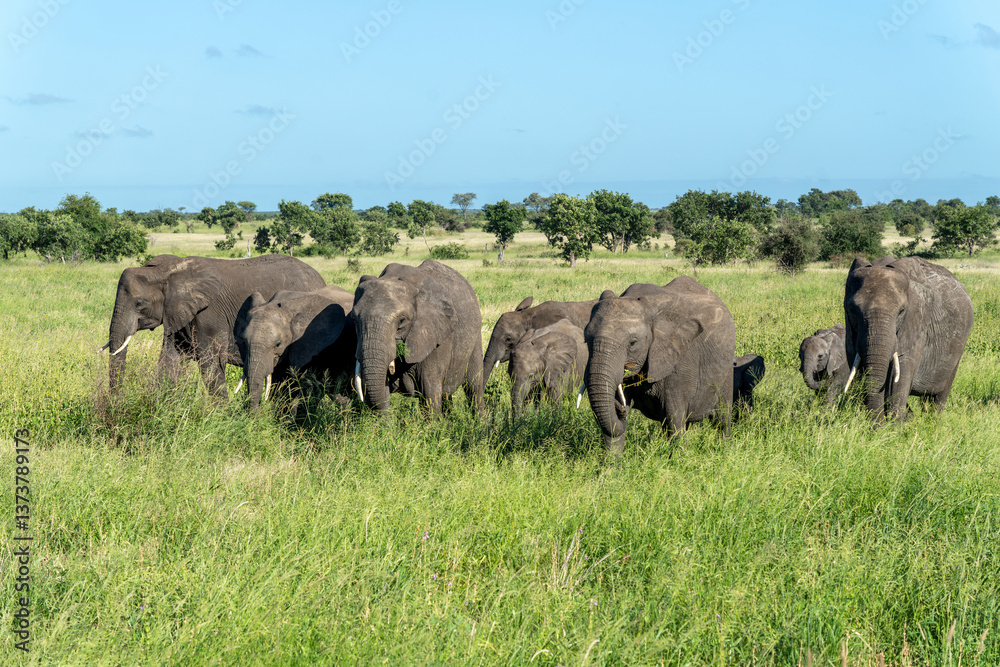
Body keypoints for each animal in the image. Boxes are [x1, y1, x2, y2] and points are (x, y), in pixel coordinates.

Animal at [101, 254, 325, 397]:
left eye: (139, 303)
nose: (115, 403)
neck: (168, 270)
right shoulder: (179, 314)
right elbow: (170, 360)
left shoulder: (209, 315)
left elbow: (211, 363)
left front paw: (224, 418)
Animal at [352, 259, 484, 415]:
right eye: (354, 320)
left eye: (402, 321)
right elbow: (382, 394)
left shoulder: (435, 337)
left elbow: (430, 395)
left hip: (476, 336)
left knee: (474, 386)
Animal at [584, 276, 736, 455]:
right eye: (586, 340)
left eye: (633, 343)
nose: (621, 409)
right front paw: (610, 463)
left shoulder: (679, 360)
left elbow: (674, 418)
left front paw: (678, 459)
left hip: (727, 371)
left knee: (722, 418)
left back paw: (726, 451)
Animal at [843, 256, 973, 421]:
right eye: (852, 310)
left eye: (901, 311)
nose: (879, 424)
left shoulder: (916, 326)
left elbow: (899, 380)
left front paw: (894, 426)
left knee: (939, 395)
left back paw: (932, 422)